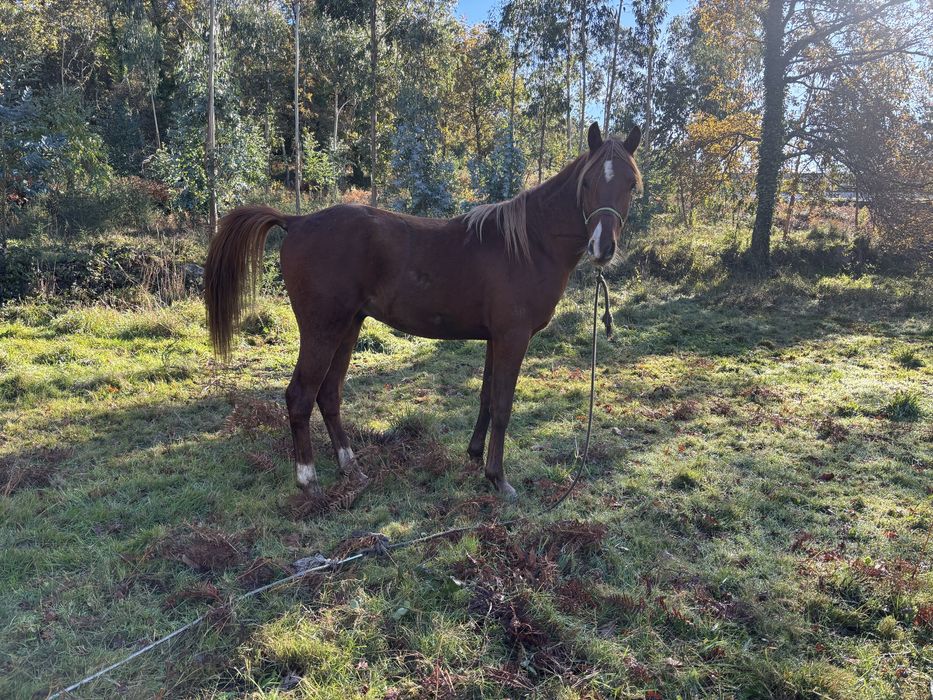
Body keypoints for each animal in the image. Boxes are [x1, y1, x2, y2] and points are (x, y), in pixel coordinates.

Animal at [204, 122, 641, 499]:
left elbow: (486, 398)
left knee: (329, 395)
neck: (529, 244)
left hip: (347, 327)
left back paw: (351, 467)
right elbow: (502, 406)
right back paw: (309, 481)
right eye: (588, 182)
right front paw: (498, 478)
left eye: (631, 185)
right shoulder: (512, 338)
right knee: (300, 396)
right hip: (321, 330)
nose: (603, 247)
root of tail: (296, 221)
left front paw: (475, 457)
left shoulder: (495, 339)